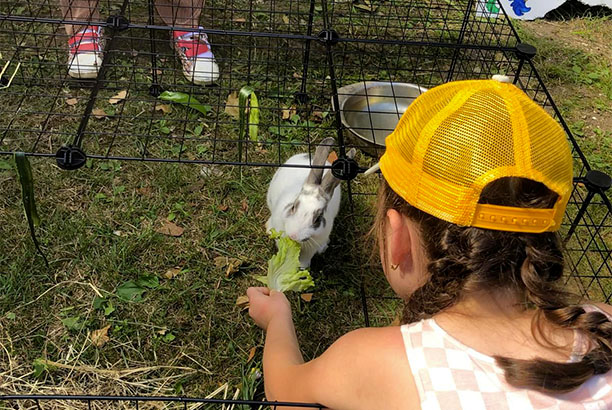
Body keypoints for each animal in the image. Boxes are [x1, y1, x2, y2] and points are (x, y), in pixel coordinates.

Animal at [266, 136, 356, 268]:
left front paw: (302, 267)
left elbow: (306, 258)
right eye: (293, 207)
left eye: (318, 219)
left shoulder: (312, 246)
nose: (293, 235)